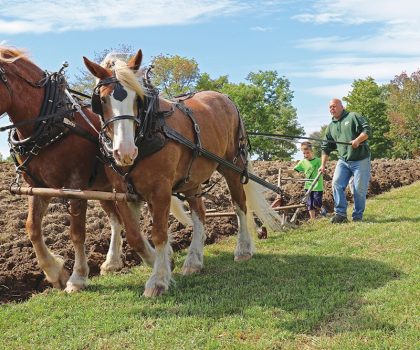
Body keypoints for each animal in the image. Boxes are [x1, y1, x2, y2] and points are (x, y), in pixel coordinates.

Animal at [0, 45, 189, 292]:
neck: (50, 123)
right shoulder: (36, 187)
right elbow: (32, 228)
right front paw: (55, 272)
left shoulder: (75, 185)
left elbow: (77, 233)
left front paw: (77, 277)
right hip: (105, 188)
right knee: (117, 220)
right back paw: (113, 262)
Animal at [83, 48, 284, 296]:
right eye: (102, 99)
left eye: (137, 98)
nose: (125, 151)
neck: (149, 131)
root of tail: (226, 98)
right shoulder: (123, 193)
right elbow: (134, 236)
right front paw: (160, 262)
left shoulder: (160, 190)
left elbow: (159, 233)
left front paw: (158, 280)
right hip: (192, 179)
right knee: (200, 214)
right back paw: (193, 261)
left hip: (232, 166)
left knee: (240, 206)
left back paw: (243, 249)